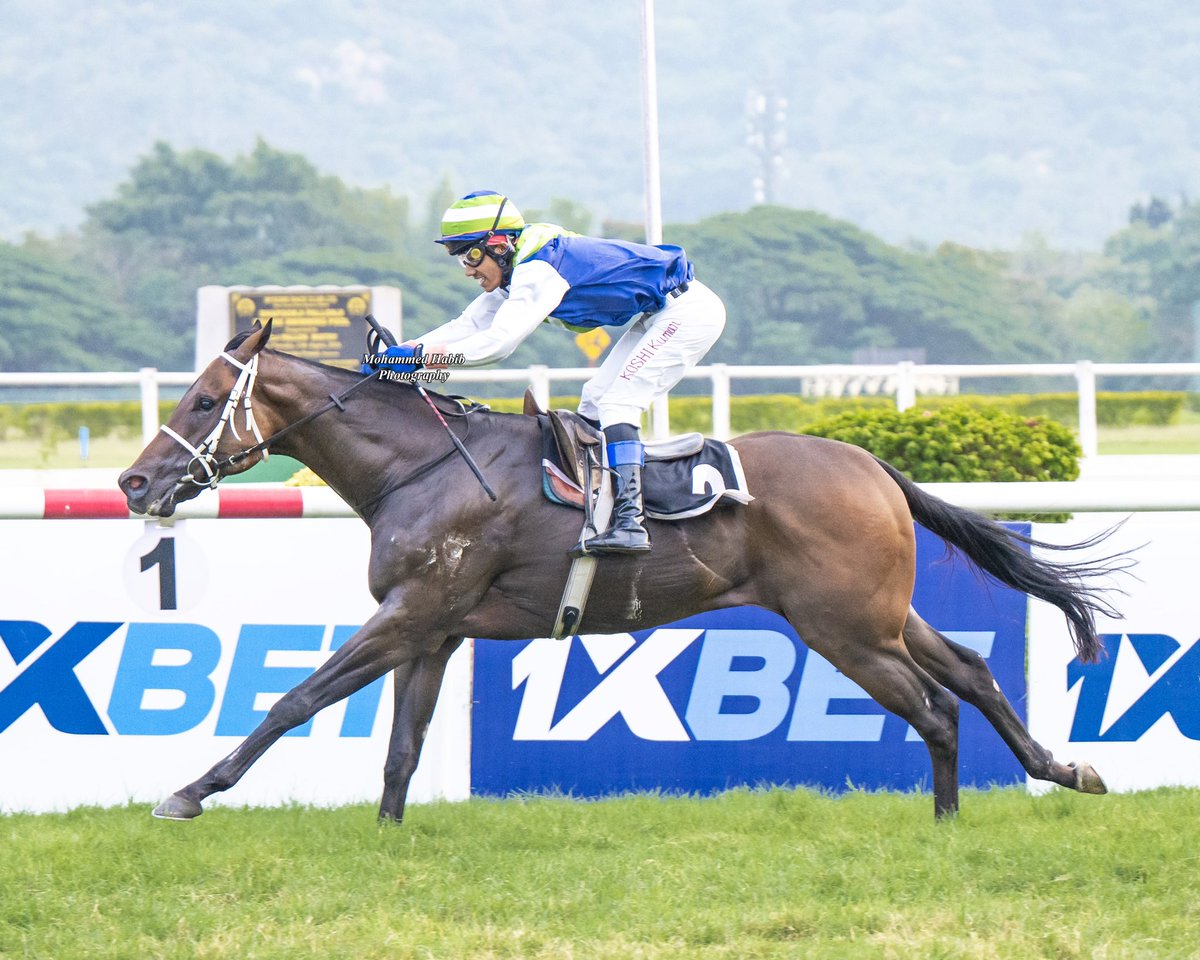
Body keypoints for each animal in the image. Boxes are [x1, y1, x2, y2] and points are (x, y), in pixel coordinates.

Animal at [117, 321, 1118, 825]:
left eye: (204, 401)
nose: (133, 482)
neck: (424, 467)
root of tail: (872, 464)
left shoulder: (410, 613)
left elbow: (298, 698)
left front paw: (190, 792)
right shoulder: (434, 630)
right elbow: (402, 744)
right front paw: (388, 837)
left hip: (843, 628)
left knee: (936, 707)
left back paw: (947, 820)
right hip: (878, 613)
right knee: (972, 670)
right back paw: (1062, 770)